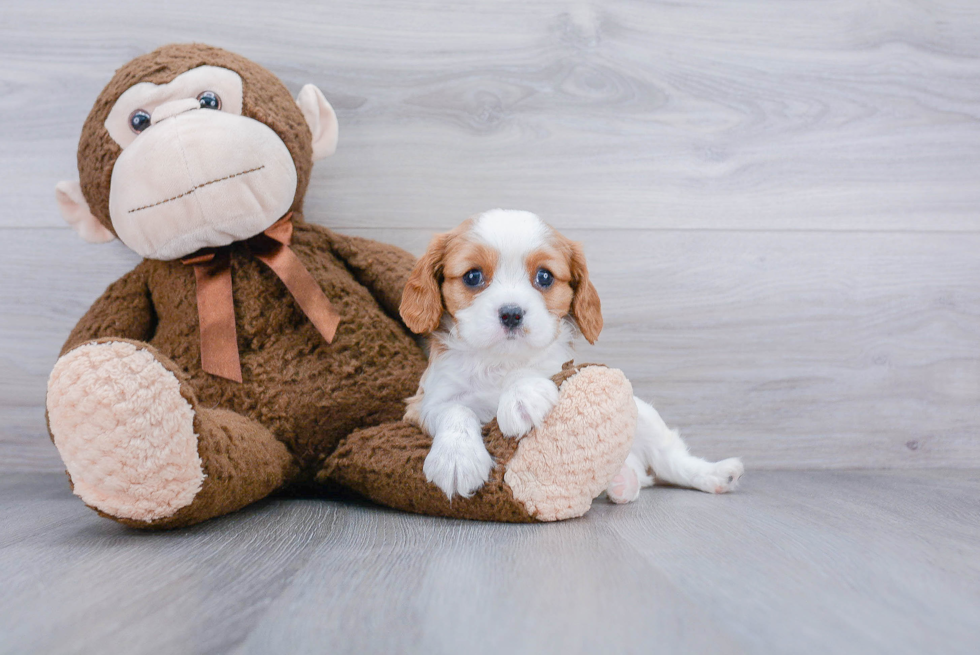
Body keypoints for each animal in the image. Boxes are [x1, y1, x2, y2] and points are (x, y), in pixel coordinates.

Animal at [398, 210, 744, 502]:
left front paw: (522, 396)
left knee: (668, 456)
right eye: (472, 277)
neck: (501, 360)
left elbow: (537, 371)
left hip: (642, 412)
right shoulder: (425, 402)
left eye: (545, 277)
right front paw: (457, 458)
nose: (511, 313)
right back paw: (624, 481)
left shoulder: (562, 367)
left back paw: (714, 474)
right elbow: (454, 410)